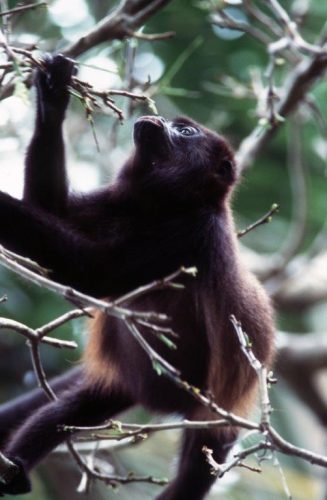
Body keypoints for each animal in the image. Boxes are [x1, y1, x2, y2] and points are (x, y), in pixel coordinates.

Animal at [0, 54, 274, 496]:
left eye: (185, 131)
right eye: (175, 124)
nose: (155, 119)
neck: (163, 205)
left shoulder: (193, 231)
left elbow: (95, 274)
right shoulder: (118, 198)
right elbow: (51, 207)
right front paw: (53, 95)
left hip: (217, 416)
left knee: (199, 467)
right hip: (123, 383)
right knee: (74, 409)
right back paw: (17, 466)